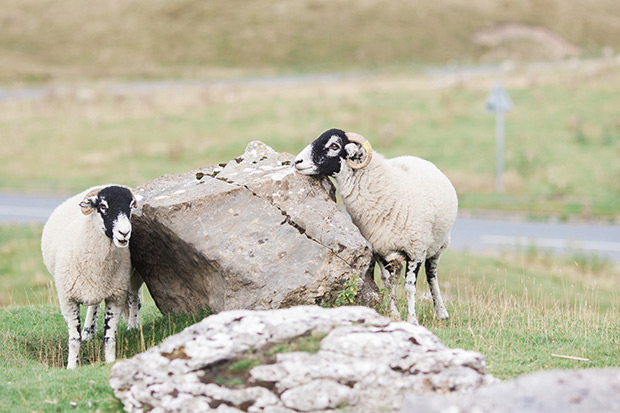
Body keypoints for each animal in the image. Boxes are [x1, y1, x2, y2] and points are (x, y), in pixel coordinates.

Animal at [40, 183, 142, 366]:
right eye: (103, 206)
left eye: (131, 206)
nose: (124, 233)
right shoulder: (68, 299)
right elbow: (74, 339)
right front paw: (71, 366)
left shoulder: (116, 296)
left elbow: (109, 337)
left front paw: (110, 362)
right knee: (94, 306)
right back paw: (89, 331)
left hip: (132, 277)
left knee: (133, 299)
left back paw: (132, 327)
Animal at [294, 129, 458, 326]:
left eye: (334, 146)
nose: (297, 162)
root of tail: (419, 159)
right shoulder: (380, 249)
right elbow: (387, 282)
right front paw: (394, 314)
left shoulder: (416, 250)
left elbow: (410, 288)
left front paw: (412, 320)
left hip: (437, 246)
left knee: (432, 275)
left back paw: (441, 312)